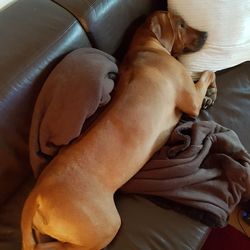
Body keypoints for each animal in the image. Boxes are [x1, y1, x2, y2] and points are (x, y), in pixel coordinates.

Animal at [21, 11, 217, 250]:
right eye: (181, 24)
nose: (206, 34)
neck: (147, 45)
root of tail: (35, 197)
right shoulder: (191, 101)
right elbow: (208, 72)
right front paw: (212, 91)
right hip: (104, 227)